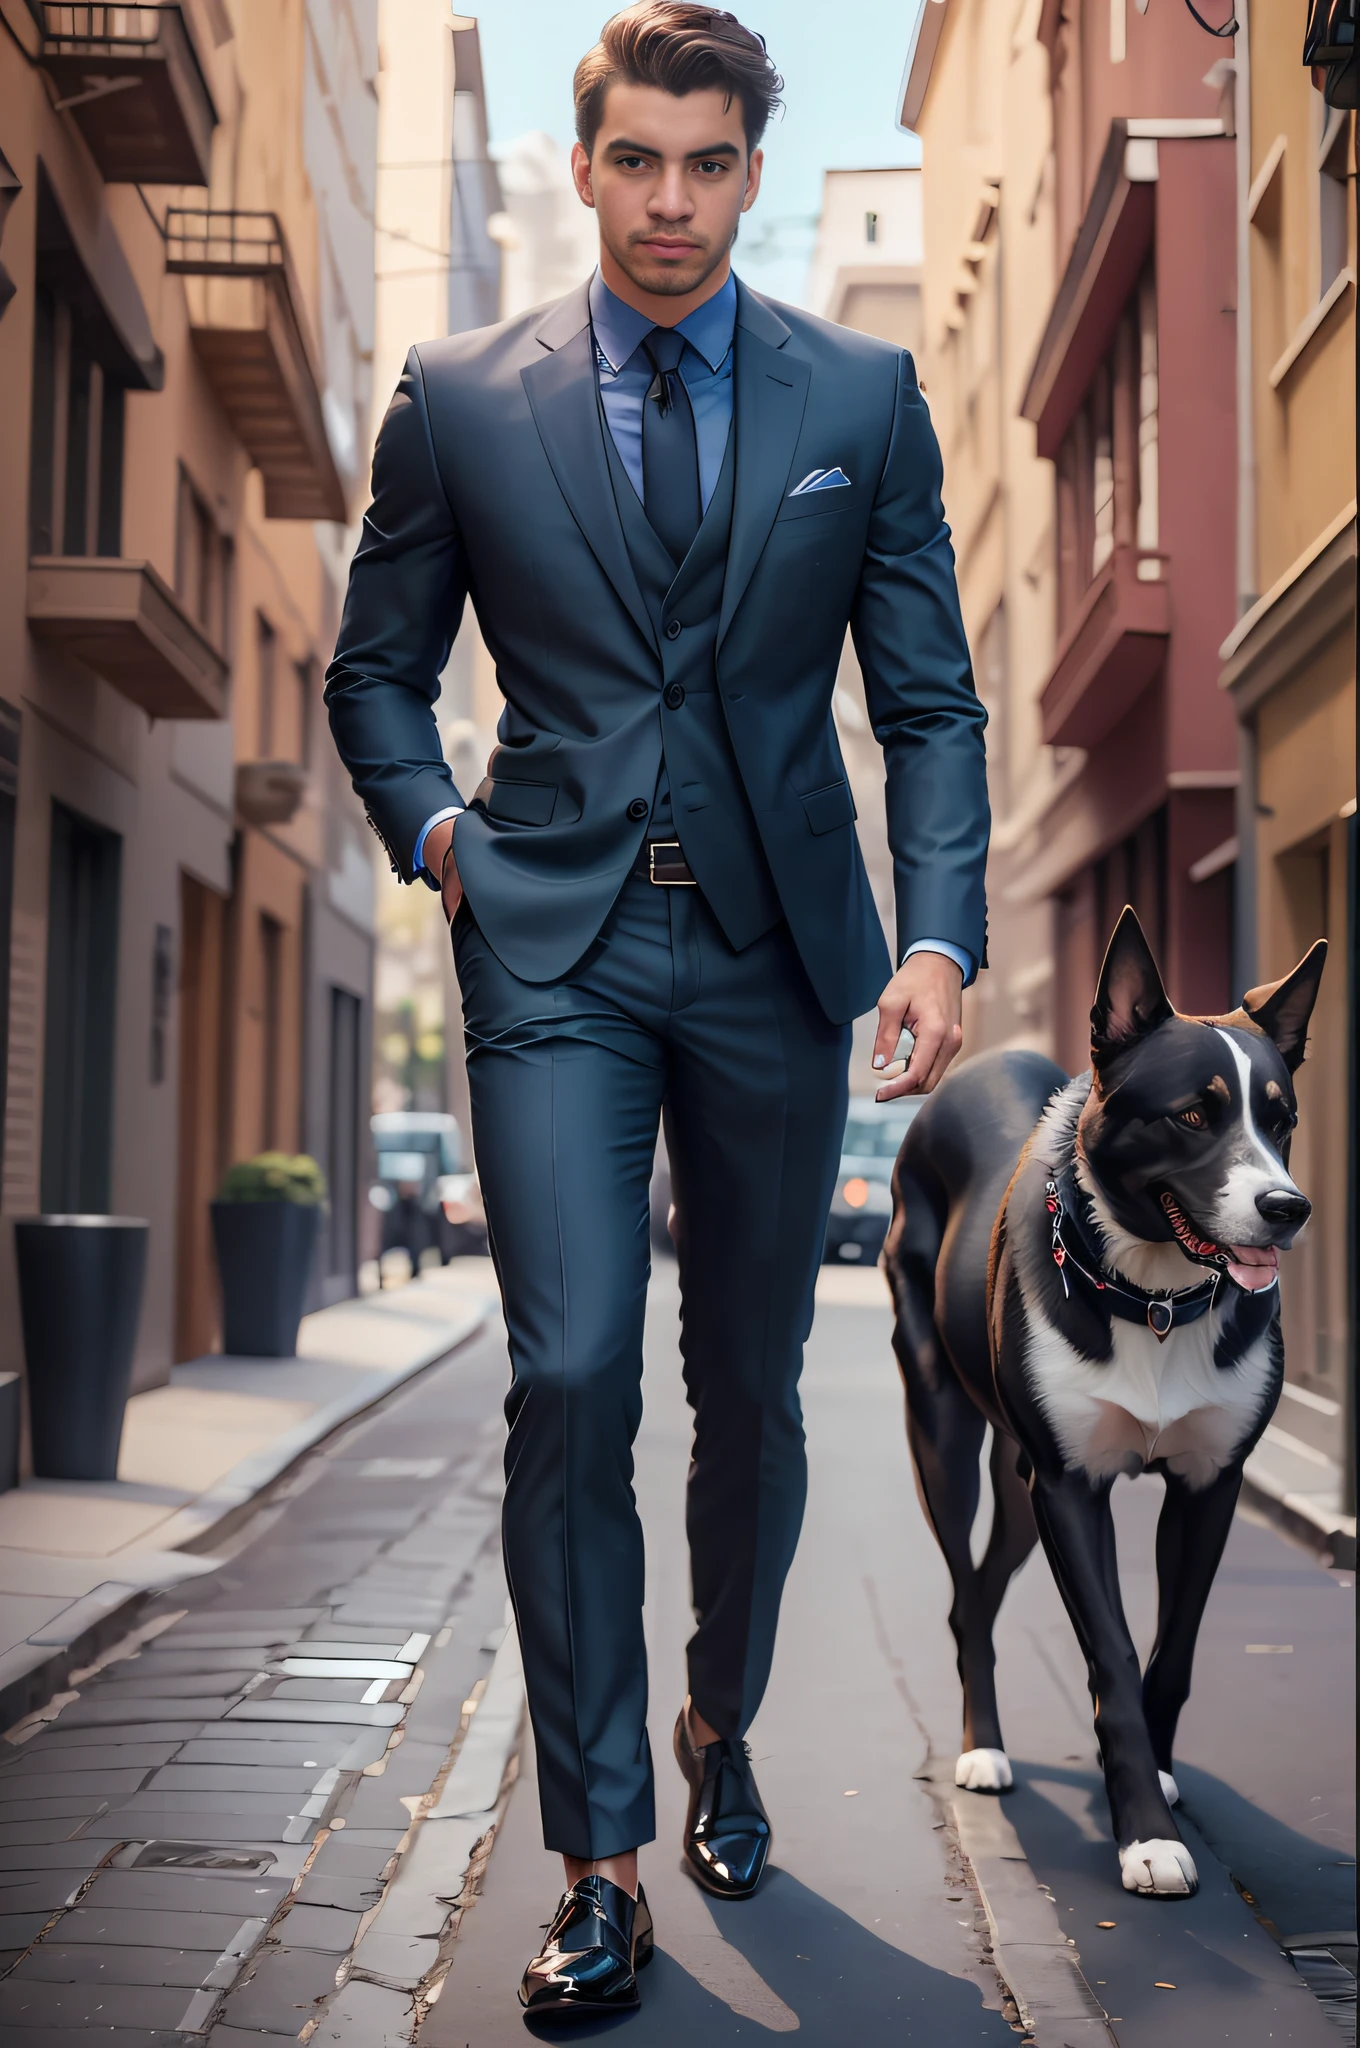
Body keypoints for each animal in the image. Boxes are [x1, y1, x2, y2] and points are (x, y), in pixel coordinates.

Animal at [880, 913, 1327, 1900]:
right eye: (1193, 1115)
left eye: (1282, 1120)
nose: (1288, 1207)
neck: (1155, 1297)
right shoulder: (1071, 1487)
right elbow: (1114, 1653)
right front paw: (1147, 1838)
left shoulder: (1209, 1484)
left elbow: (1173, 1649)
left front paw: (1152, 1778)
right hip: (943, 1432)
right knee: (964, 1587)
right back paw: (983, 1750)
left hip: (1021, 1485)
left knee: (988, 1581)